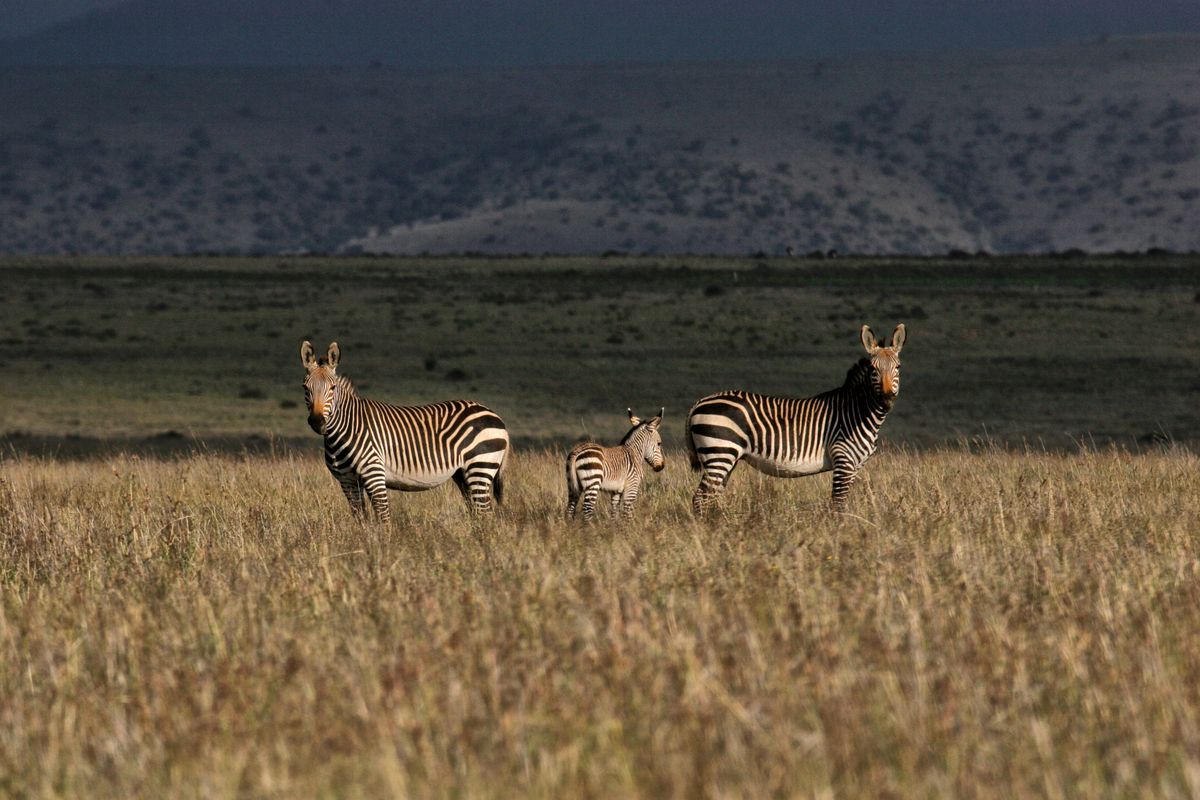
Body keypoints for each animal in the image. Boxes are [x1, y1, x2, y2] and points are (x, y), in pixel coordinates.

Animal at [300, 341, 509, 522]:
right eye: (305, 388)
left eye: (333, 388)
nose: (317, 422)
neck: (342, 432)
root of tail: (494, 414)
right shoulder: (347, 481)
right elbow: (361, 520)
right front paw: (365, 541)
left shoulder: (374, 474)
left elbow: (383, 518)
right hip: (463, 474)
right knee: (477, 514)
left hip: (480, 466)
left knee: (485, 514)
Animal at [686, 323, 905, 514]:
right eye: (873, 369)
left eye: (898, 367)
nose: (886, 399)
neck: (858, 412)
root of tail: (699, 402)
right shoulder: (843, 459)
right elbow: (838, 504)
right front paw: (840, 531)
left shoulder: (854, 466)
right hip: (719, 451)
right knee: (700, 498)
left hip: (726, 457)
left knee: (710, 496)